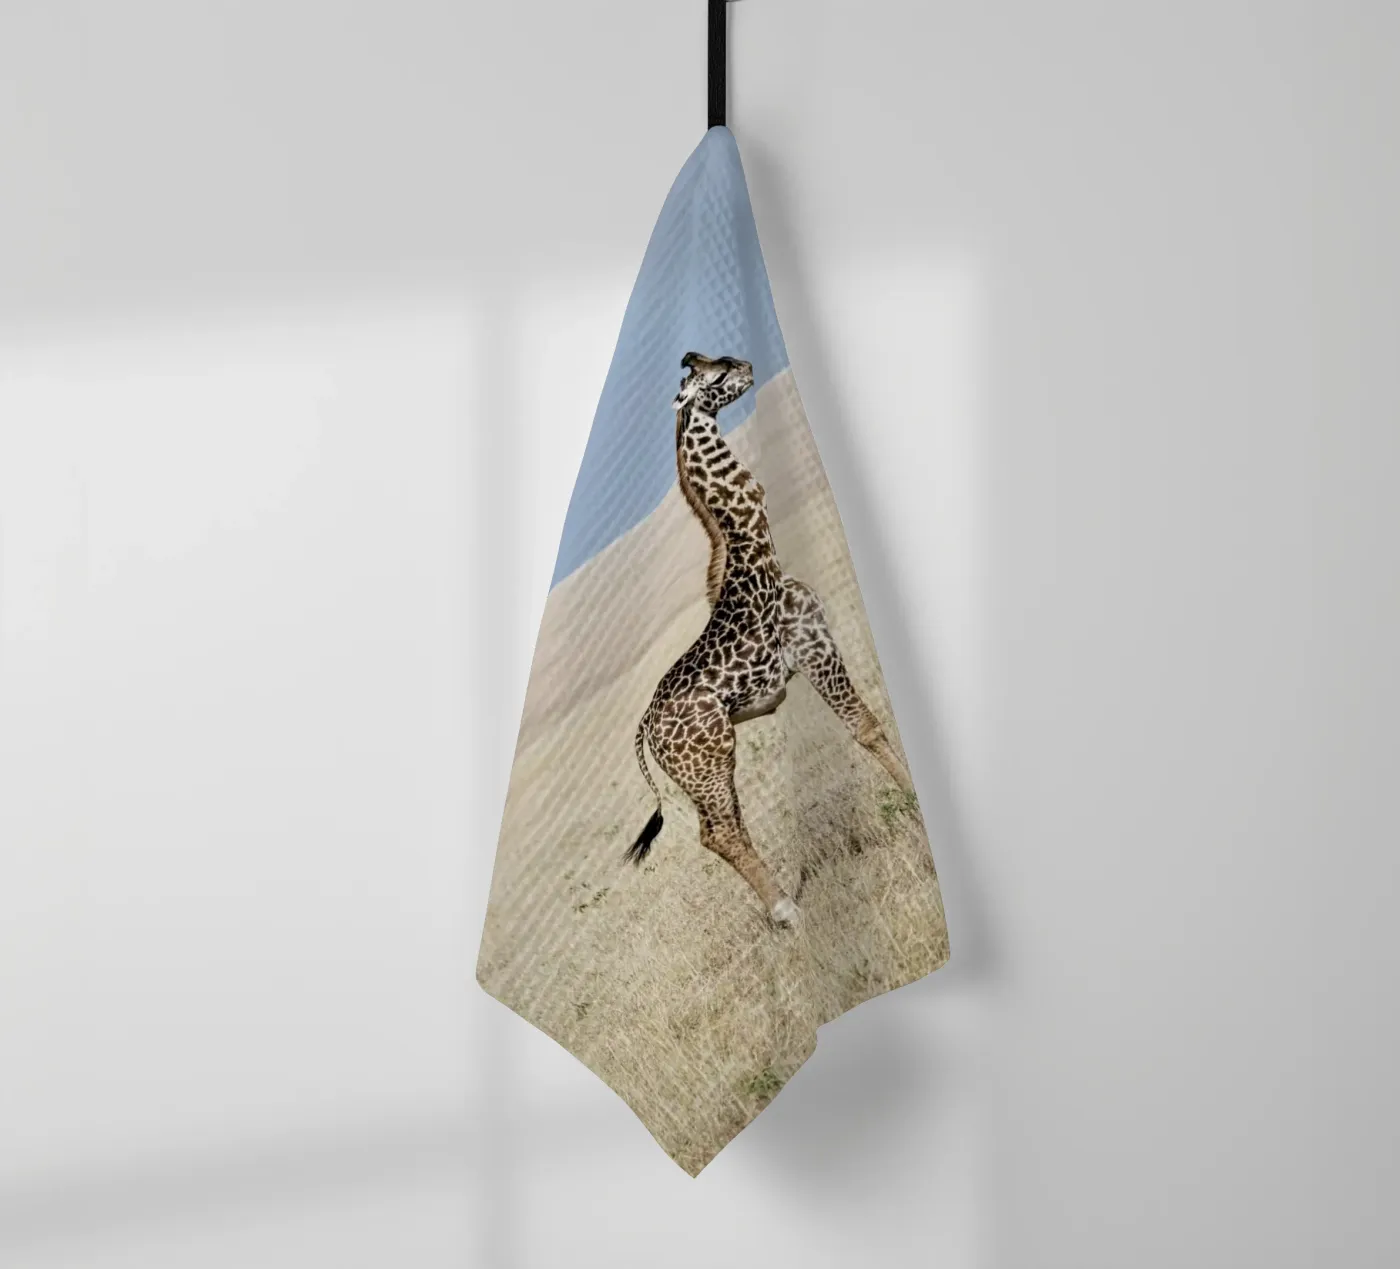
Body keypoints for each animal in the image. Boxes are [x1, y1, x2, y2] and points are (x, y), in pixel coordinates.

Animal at [625, 352, 915, 926]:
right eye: (714, 377)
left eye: (714, 363)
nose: (747, 365)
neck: (760, 556)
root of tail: (646, 728)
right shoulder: (815, 647)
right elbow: (866, 728)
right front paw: (916, 805)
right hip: (711, 759)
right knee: (719, 830)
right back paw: (787, 911)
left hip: (701, 770)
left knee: (718, 831)